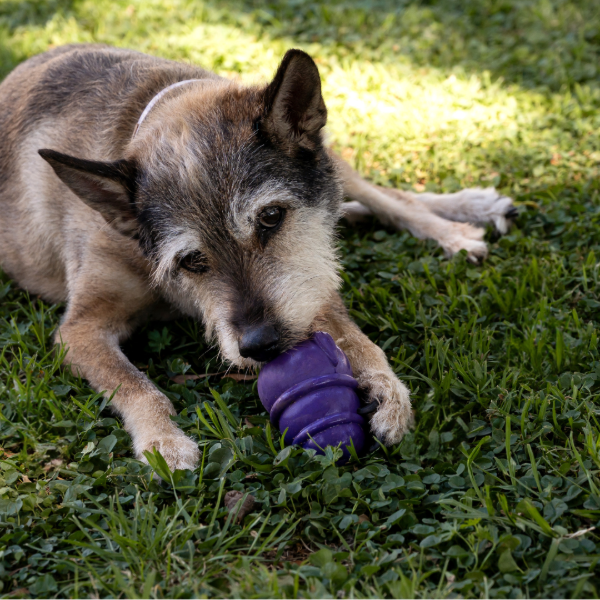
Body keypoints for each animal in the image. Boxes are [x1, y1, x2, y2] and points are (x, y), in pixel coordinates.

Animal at [0, 45, 515, 470]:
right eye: (190, 260)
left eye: (270, 217)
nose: (261, 345)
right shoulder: (81, 329)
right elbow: (134, 384)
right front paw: (163, 442)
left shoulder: (306, 279)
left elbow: (358, 338)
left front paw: (387, 389)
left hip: (328, 163)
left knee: (390, 197)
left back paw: (463, 219)